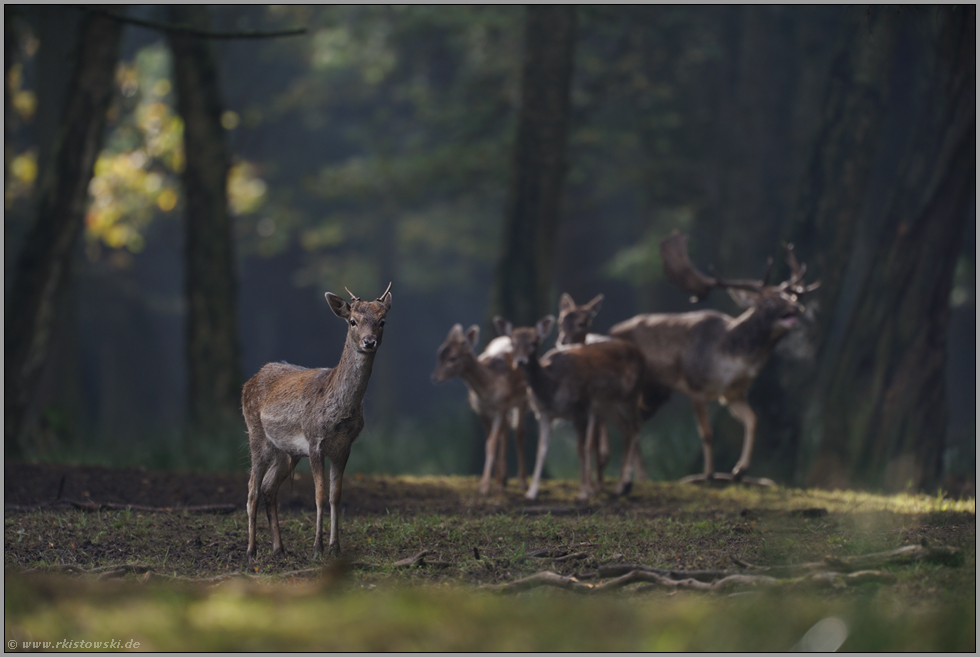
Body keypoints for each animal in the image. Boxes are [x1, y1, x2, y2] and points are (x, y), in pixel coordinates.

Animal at [243, 282, 392, 560]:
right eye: (353, 321)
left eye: (382, 321)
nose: (369, 341)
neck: (340, 414)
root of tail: (248, 382)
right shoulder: (315, 442)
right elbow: (320, 496)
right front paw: (317, 548)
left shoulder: (344, 447)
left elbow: (336, 496)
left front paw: (335, 547)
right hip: (256, 435)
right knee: (252, 489)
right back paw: (251, 551)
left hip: (287, 452)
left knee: (269, 487)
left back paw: (279, 549)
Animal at [430, 320, 528, 494]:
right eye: (439, 354)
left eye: (453, 357)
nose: (434, 377)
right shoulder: (481, 411)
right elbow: (489, 442)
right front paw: (494, 483)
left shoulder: (499, 409)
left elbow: (491, 443)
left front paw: (485, 486)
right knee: (506, 430)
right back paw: (503, 479)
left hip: (523, 399)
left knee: (519, 433)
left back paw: (523, 482)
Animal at [494, 316, 648, 500]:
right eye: (512, 342)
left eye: (535, 342)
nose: (520, 361)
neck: (552, 388)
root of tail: (640, 354)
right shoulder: (544, 414)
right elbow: (542, 450)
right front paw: (531, 493)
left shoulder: (580, 408)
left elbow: (581, 449)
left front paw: (584, 492)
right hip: (608, 407)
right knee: (628, 431)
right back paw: (623, 485)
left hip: (629, 397)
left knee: (635, 426)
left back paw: (623, 484)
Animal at [608, 231, 816, 482]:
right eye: (767, 300)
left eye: (790, 297)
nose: (795, 309)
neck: (731, 361)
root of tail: (609, 332)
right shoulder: (695, 386)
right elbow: (707, 433)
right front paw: (709, 474)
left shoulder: (733, 393)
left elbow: (754, 420)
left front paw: (739, 470)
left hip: (656, 392)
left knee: (634, 423)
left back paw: (641, 477)